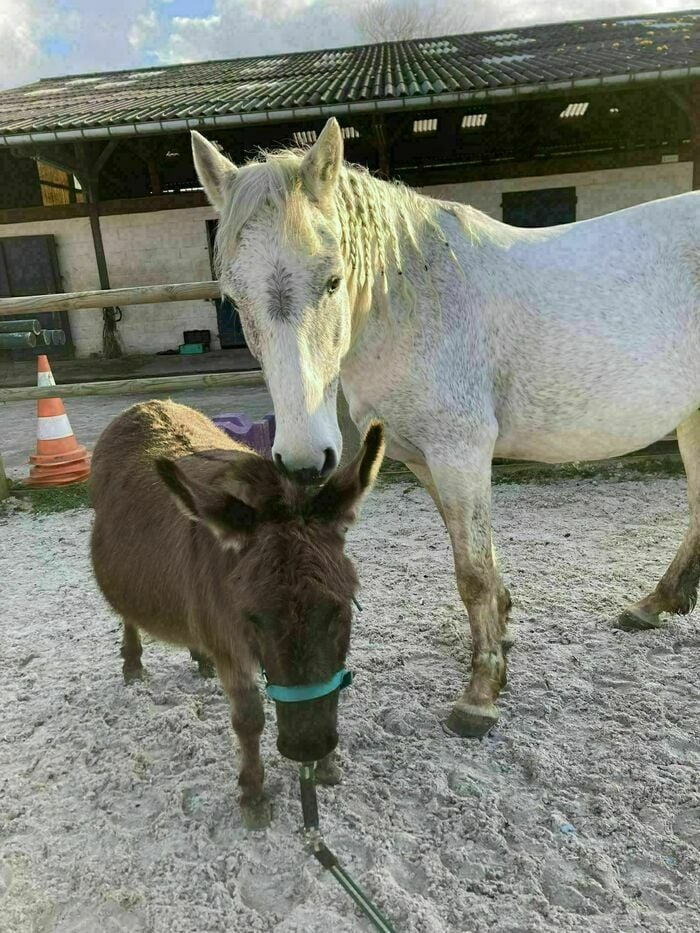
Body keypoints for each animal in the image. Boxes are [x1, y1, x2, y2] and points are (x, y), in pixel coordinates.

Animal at [90, 399, 384, 827]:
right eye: (253, 619)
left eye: (339, 610)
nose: (306, 747)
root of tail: (147, 404)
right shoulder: (231, 643)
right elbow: (248, 718)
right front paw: (254, 795)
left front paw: (326, 765)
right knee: (126, 615)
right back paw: (133, 663)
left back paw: (199, 658)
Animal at [191, 118, 700, 739]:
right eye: (233, 297)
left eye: (333, 281)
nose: (306, 461)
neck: (415, 298)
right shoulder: (423, 457)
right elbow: (478, 564)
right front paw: (501, 635)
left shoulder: (460, 452)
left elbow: (473, 572)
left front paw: (480, 696)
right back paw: (653, 605)